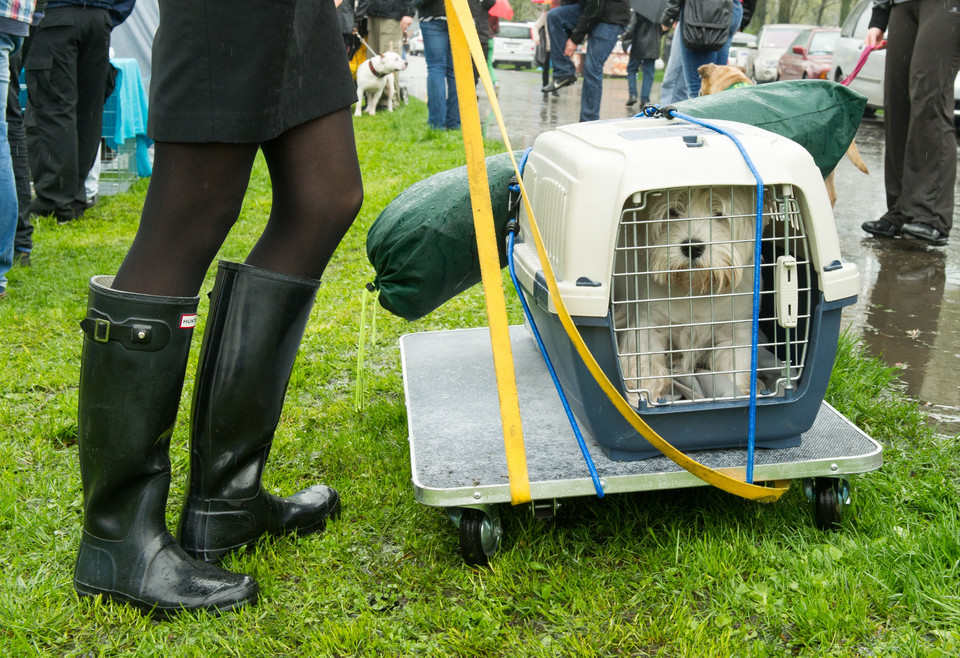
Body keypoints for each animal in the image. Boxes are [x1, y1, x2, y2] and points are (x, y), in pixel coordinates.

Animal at [616, 186, 764, 404]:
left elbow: (733, 371)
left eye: (719, 214)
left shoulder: (737, 332)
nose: (692, 247)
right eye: (673, 211)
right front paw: (639, 399)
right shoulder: (648, 324)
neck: (695, 287)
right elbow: (645, 366)